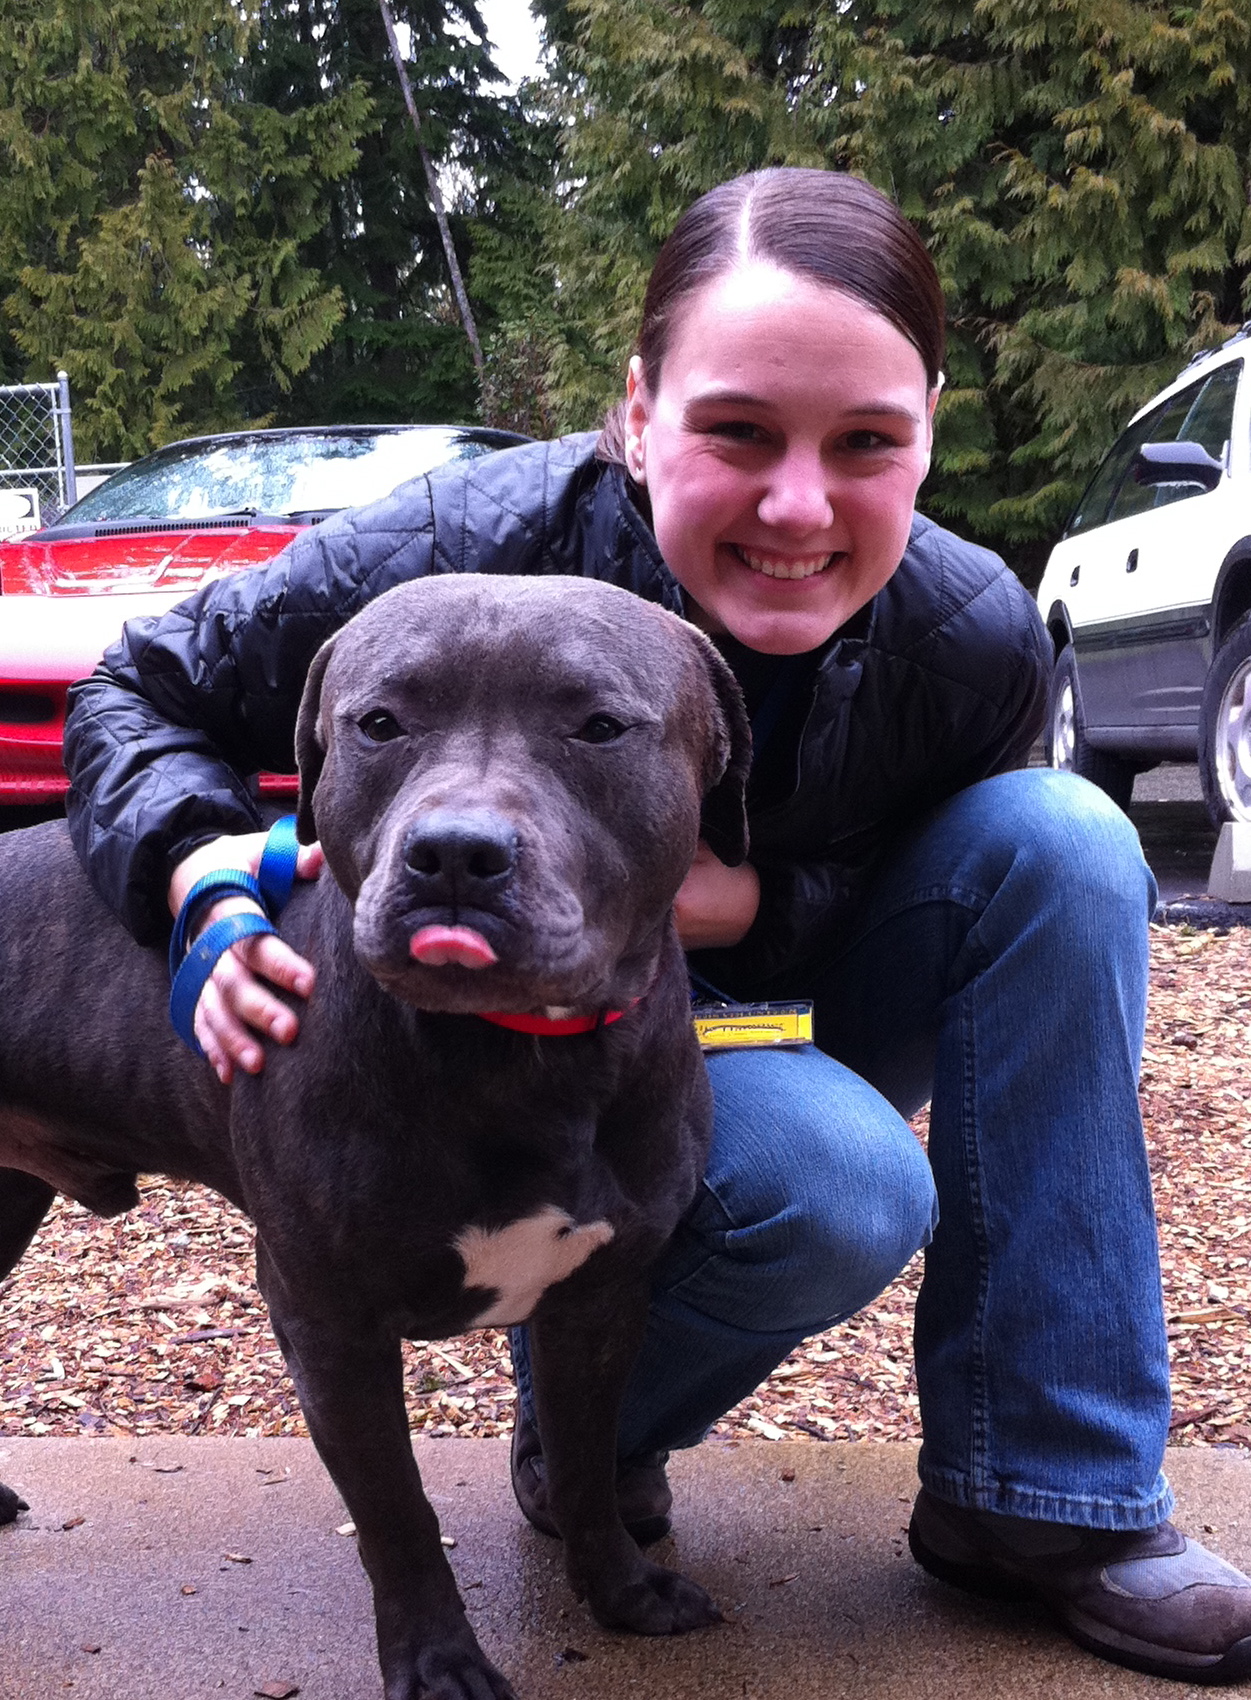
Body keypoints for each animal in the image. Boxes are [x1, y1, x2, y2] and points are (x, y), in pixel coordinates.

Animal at [0, 573, 752, 1700]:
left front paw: (621, 1587)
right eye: (381, 723)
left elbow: (584, 1459)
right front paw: (438, 1660)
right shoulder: (327, 1316)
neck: (513, 1054)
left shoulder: (602, 1296)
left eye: (599, 726)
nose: (455, 854)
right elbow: (396, 1509)